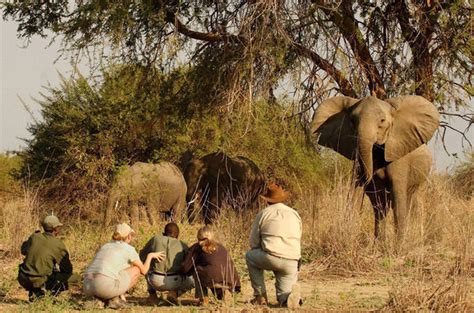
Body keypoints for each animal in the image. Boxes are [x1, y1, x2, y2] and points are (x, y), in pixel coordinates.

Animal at [312, 95, 440, 239]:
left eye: (382, 120)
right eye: (352, 121)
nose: (366, 179)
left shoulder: (398, 157)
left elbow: (398, 201)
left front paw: (400, 245)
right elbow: (360, 197)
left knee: (408, 202)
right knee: (380, 207)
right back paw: (380, 241)